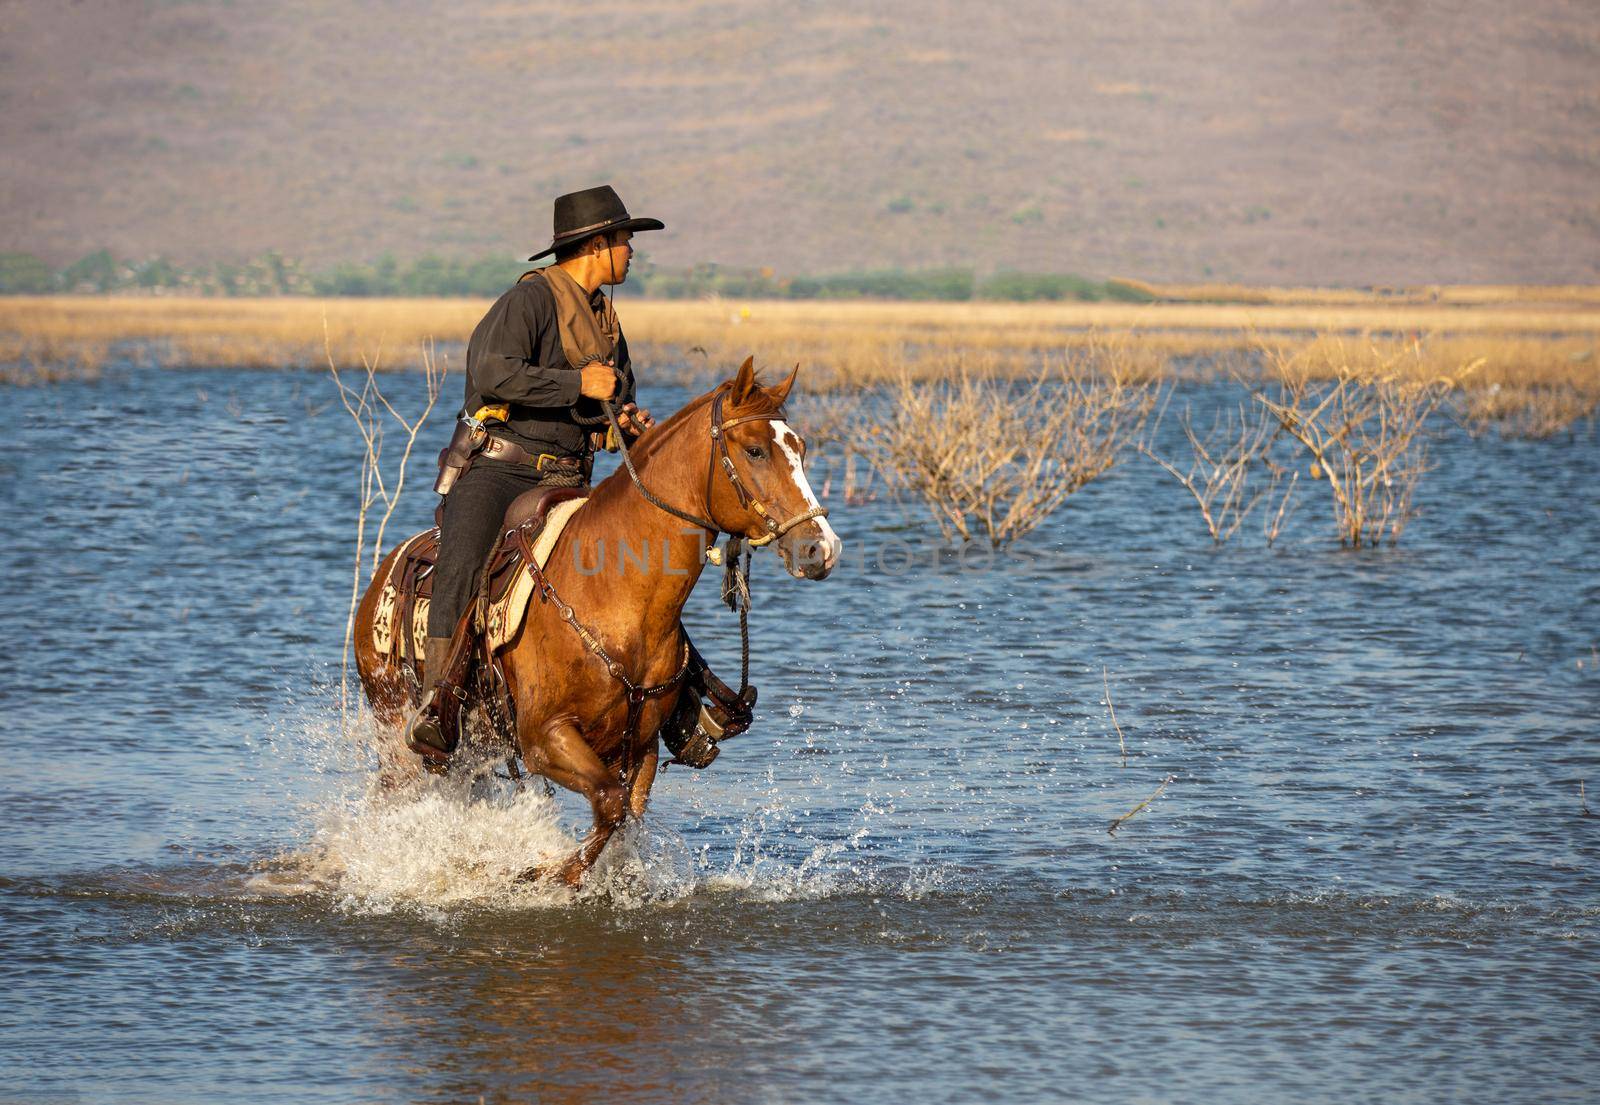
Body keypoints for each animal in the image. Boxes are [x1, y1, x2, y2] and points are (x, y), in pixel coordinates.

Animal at [355, 358, 844, 889]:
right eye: (754, 450)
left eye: (800, 448)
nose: (821, 547)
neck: (615, 593)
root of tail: (385, 572)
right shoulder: (546, 738)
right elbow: (609, 806)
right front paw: (544, 875)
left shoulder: (640, 746)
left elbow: (625, 816)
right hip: (397, 731)